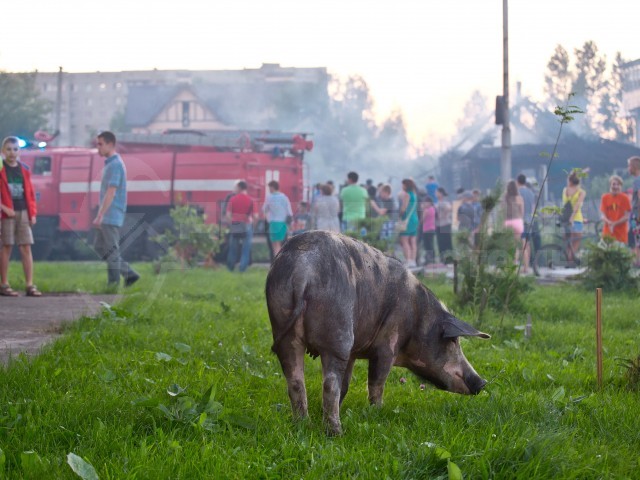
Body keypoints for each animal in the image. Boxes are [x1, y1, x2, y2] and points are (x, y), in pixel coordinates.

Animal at [264, 230, 490, 436]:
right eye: (453, 342)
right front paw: (378, 411)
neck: (418, 318)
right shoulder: (387, 344)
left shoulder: (353, 353)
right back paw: (336, 432)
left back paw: (303, 425)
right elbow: (376, 381)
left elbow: (346, 384)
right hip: (337, 334)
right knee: (329, 384)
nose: (482, 382)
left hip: (284, 326)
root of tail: (303, 270)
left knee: (295, 381)